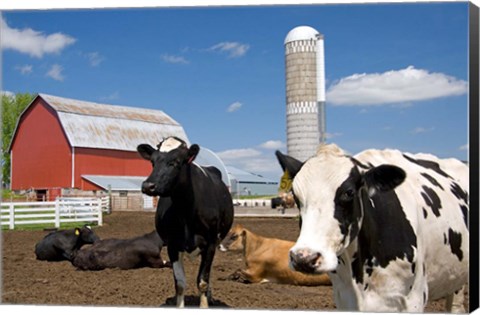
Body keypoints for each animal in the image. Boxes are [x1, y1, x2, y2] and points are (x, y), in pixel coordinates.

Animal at [137, 138, 234, 308]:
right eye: (152, 162)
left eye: (175, 162)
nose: (148, 186)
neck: (186, 211)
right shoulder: (173, 246)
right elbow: (180, 283)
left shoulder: (210, 244)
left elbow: (203, 281)